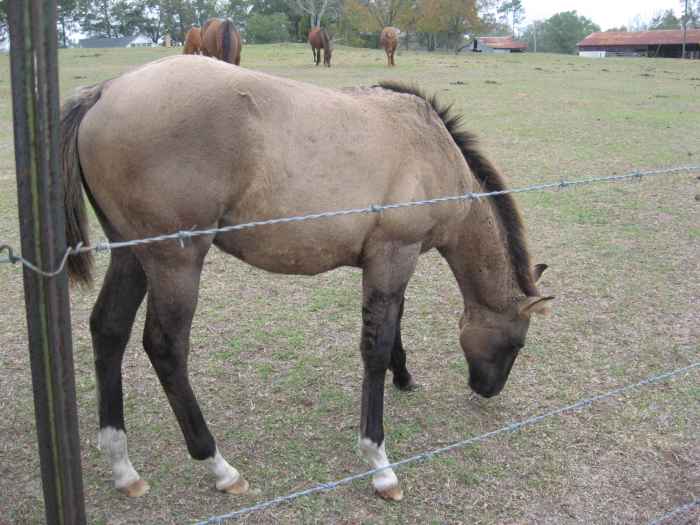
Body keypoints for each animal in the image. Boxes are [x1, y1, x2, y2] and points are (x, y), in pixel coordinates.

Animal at [60, 55, 552, 501]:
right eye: (518, 343)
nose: (487, 390)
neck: (430, 146)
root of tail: (106, 91)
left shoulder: (390, 262)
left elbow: (394, 325)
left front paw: (404, 376)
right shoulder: (394, 254)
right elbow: (374, 348)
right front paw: (379, 463)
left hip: (132, 255)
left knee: (108, 329)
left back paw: (122, 466)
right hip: (174, 262)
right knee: (165, 348)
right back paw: (219, 466)